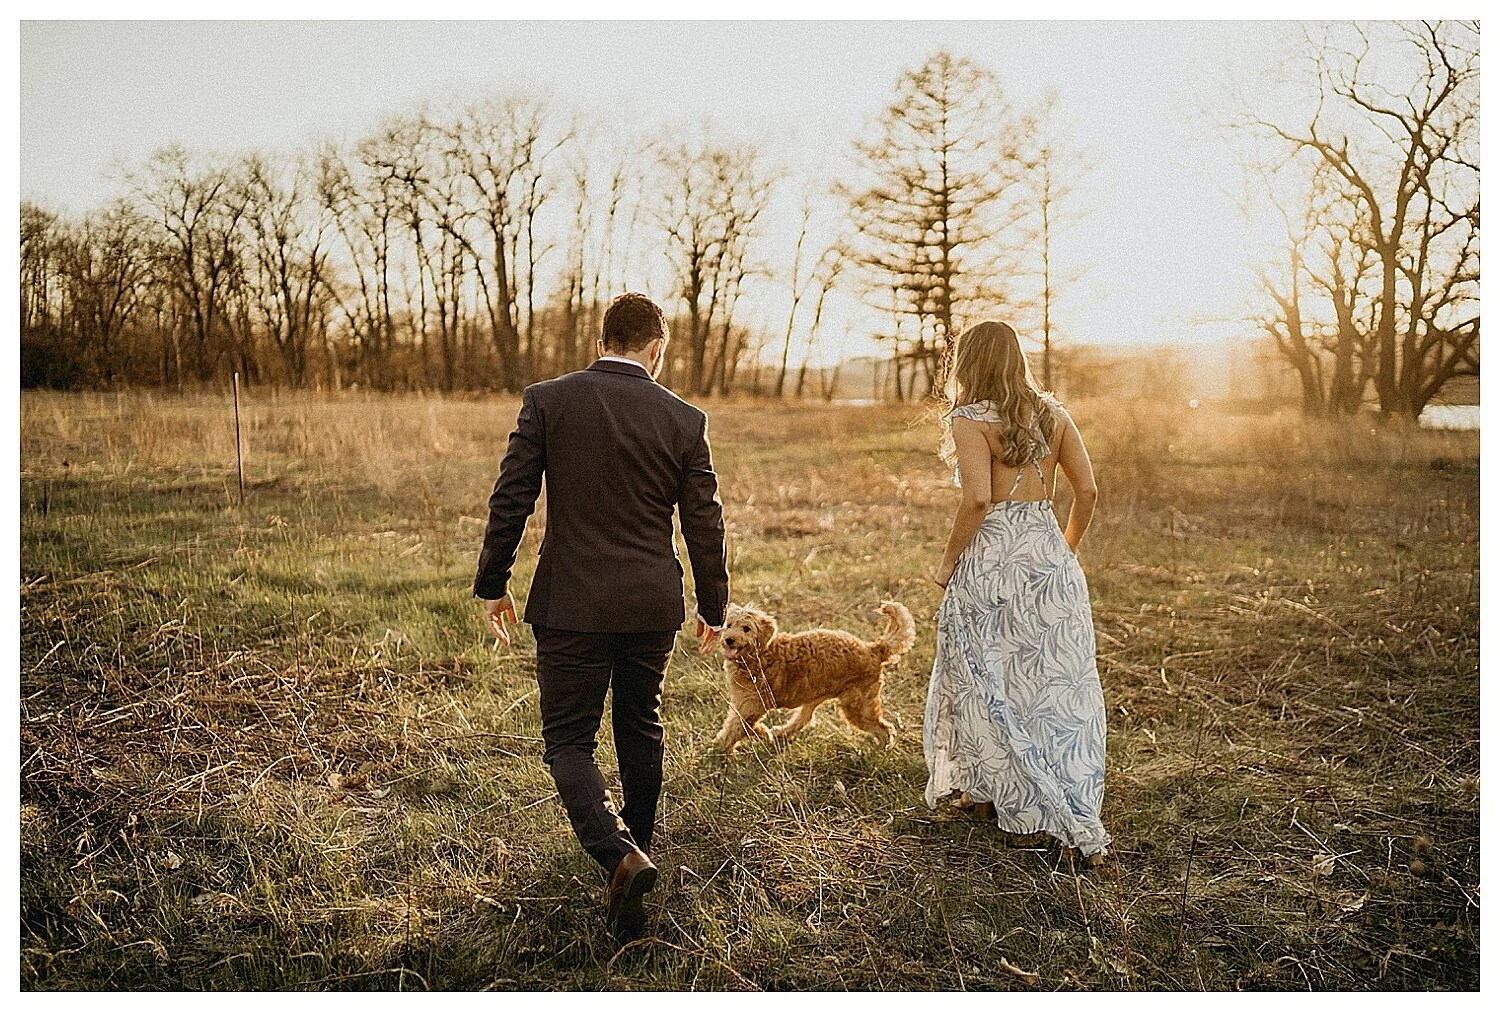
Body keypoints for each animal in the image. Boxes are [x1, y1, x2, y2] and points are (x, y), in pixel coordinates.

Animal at [711, 602, 912, 752]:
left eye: (746, 628)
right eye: (729, 626)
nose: (729, 639)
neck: (760, 654)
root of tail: (874, 650)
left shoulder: (751, 704)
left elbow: (735, 727)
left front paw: (717, 750)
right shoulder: (747, 704)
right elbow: (743, 725)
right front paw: (762, 733)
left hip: (858, 707)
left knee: (885, 729)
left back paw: (881, 751)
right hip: (816, 697)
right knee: (804, 718)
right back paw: (781, 733)